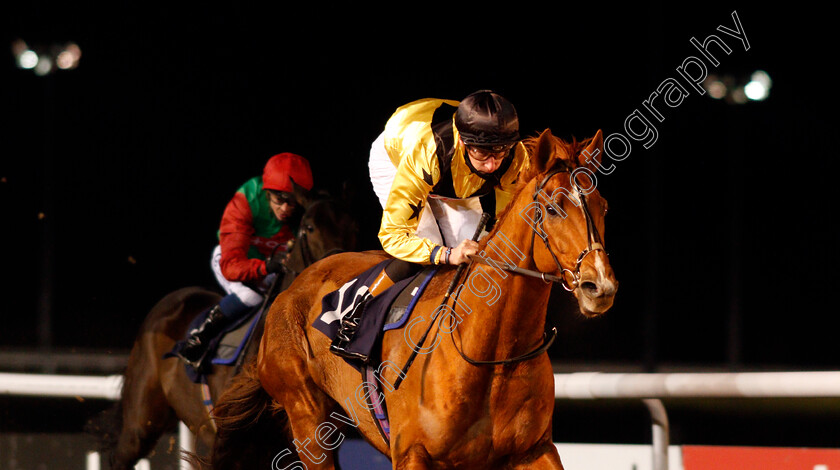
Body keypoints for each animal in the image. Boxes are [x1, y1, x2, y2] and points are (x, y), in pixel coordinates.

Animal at [210, 129, 616, 470]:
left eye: (603, 206)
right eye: (553, 208)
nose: (599, 286)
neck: (491, 353)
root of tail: (291, 288)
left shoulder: (533, 450)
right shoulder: (412, 454)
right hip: (307, 419)